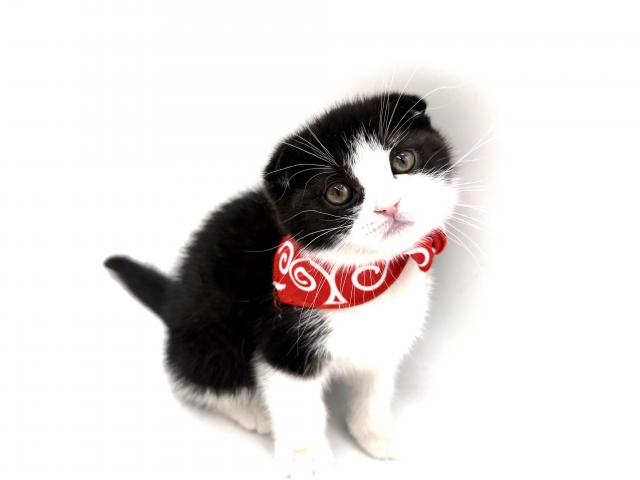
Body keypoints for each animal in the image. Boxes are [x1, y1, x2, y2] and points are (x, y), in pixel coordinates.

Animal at [105, 92, 458, 479]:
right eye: (338, 192)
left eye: (402, 160)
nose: (389, 206)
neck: (367, 276)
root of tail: (174, 303)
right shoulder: (284, 338)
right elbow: (297, 402)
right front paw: (306, 456)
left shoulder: (385, 338)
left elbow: (373, 389)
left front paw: (375, 434)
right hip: (212, 329)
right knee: (199, 375)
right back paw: (251, 410)